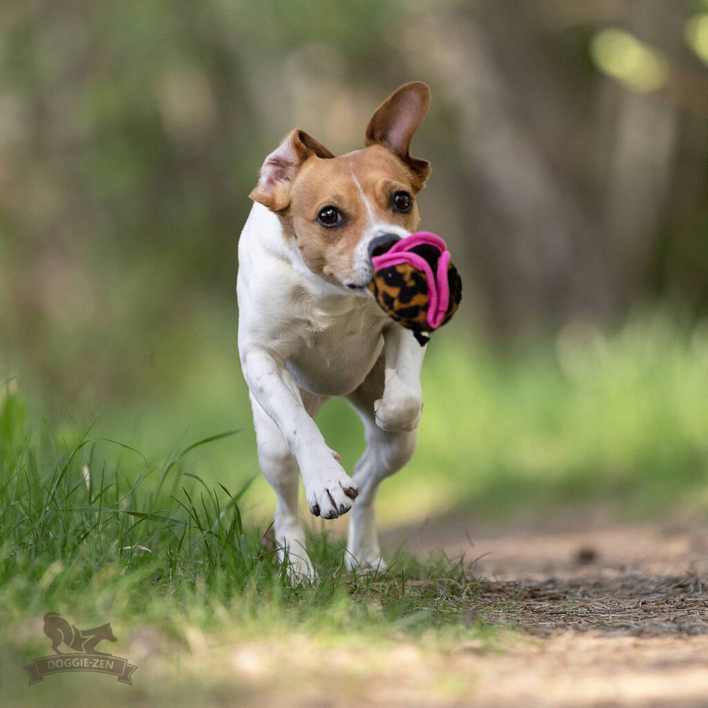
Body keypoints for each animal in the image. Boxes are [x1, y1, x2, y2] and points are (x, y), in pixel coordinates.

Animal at [239, 81, 432, 580]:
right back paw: (298, 567)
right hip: (272, 447)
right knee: (286, 502)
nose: (387, 245)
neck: (332, 296)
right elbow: (298, 424)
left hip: (398, 446)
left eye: (402, 200)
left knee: (368, 474)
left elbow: (404, 400)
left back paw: (362, 553)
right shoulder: (261, 357)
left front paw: (390, 408)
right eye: (329, 215)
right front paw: (325, 479)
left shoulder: (408, 322)